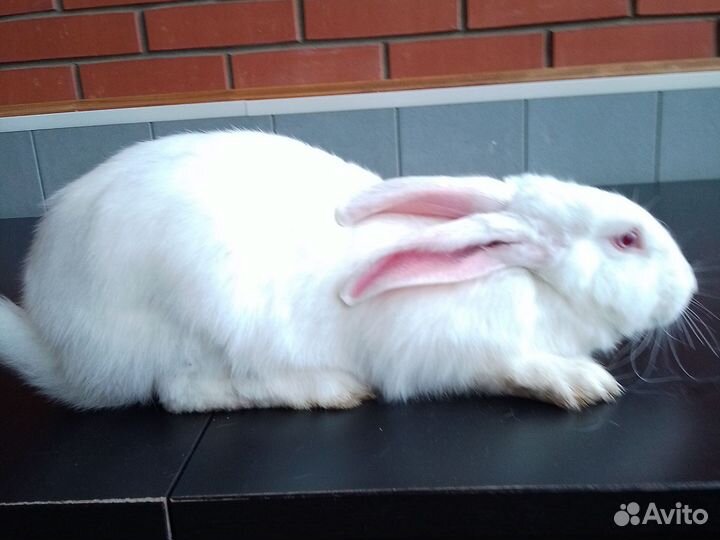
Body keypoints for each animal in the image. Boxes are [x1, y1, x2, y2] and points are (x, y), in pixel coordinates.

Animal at [0, 130, 697, 413]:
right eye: (628, 240)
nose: (690, 288)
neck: (529, 284)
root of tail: (58, 345)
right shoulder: (458, 351)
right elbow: (513, 366)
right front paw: (580, 381)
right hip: (193, 325)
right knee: (183, 394)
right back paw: (329, 388)